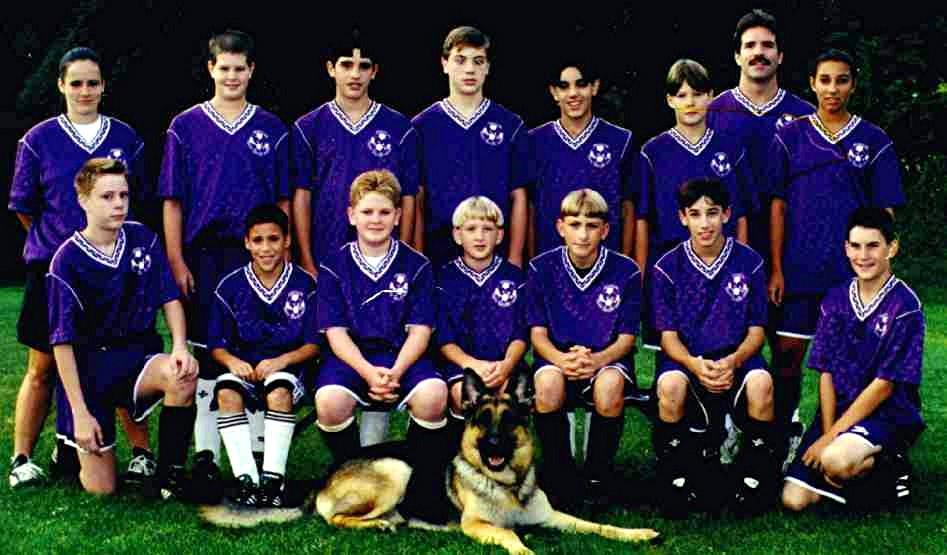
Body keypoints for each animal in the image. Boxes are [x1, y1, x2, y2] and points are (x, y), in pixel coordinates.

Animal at [200, 369, 659, 554]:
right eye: (481, 420)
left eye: (509, 420)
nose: (494, 445)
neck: (507, 485)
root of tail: (325, 478)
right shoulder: (476, 525)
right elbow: (508, 534)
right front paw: (524, 550)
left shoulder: (553, 517)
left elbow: (598, 526)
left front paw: (635, 533)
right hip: (395, 470)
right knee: (335, 518)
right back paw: (379, 524)